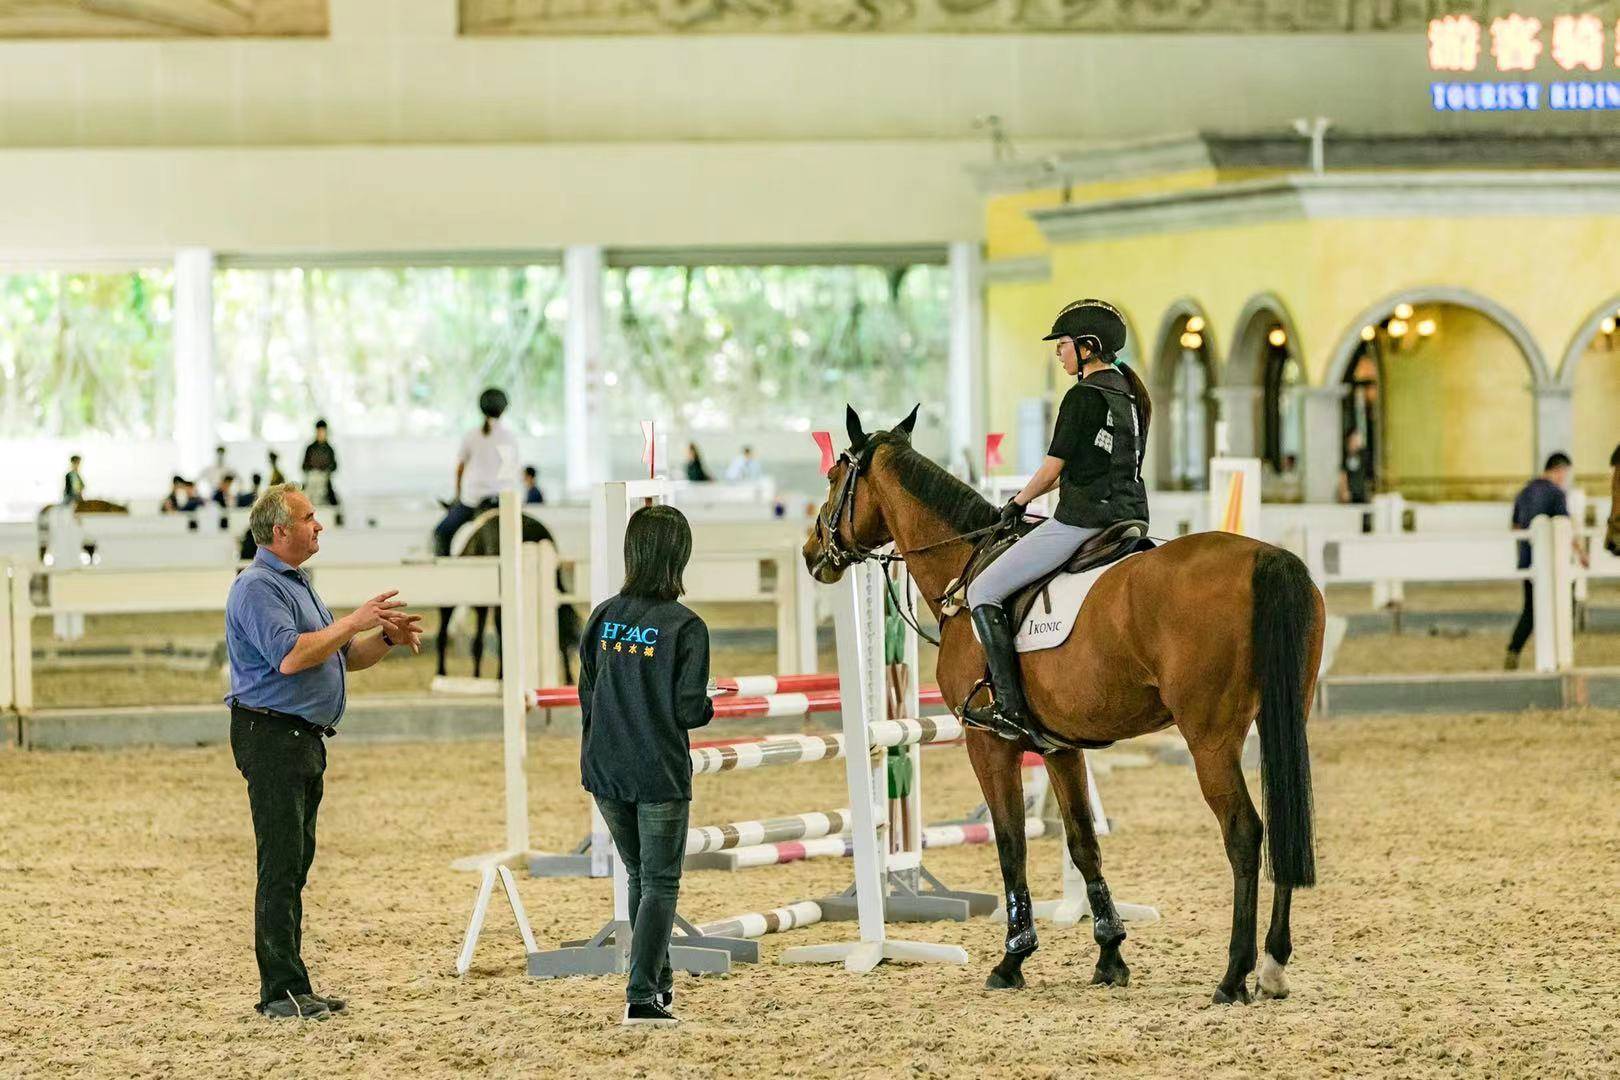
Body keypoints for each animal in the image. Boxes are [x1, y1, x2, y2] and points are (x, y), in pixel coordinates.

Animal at [803, 408, 1321, 1003]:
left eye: (835, 477)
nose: (813, 553)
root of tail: (1267, 556)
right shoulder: (1059, 748)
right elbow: (1083, 843)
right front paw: (1110, 954)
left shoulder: (989, 743)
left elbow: (1011, 845)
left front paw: (1012, 959)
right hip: (1278, 722)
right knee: (1279, 828)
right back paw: (1273, 964)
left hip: (1210, 740)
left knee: (1243, 833)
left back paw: (1236, 973)